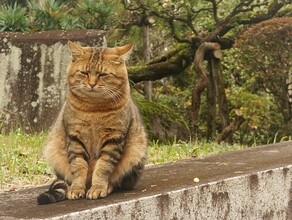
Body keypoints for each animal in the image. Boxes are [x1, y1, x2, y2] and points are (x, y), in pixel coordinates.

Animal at [37, 41, 147, 205]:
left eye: (103, 74)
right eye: (84, 73)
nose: (92, 84)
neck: (94, 109)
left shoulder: (113, 139)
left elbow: (103, 167)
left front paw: (98, 187)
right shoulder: (75, 137)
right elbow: (78, 166)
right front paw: (77, 188)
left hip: (136, 151)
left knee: (118, 181)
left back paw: (107, 186)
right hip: (53, 149)